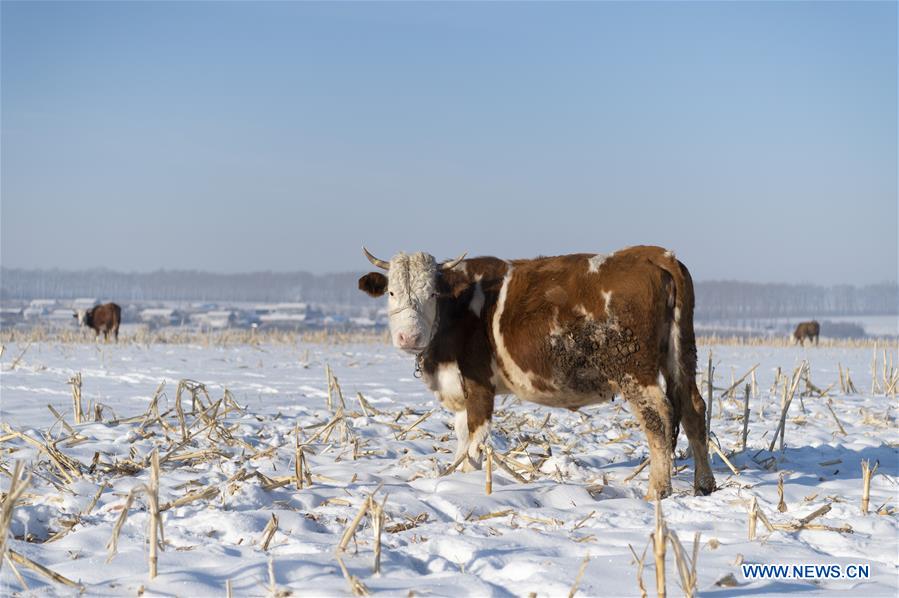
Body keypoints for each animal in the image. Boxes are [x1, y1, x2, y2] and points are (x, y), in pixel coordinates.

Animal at [358, 245, 716, 502]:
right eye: (392, 292)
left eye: (431, 293)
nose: (409, 337)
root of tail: (654, 253)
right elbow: (462, 441)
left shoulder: (479, 386)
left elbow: (475, 444)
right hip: (681, 355)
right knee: (693, 408)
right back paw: (704, 484)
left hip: (633, 369)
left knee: (659, 417)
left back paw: (657, 490)